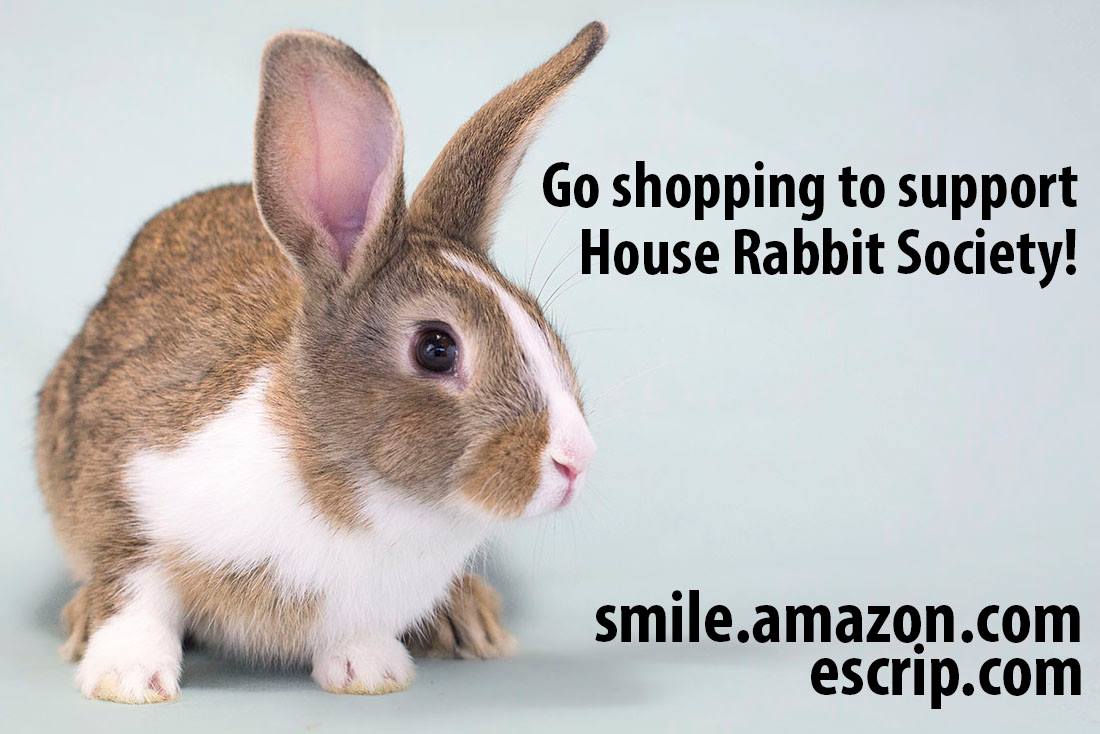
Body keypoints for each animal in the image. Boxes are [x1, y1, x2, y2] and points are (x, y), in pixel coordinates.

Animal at [35, 21, 605, 703]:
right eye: (437, 348)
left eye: (539, 319)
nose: (575, 460)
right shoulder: (126, 496)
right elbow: (135, 595)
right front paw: (126, 680)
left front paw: (370, 673)